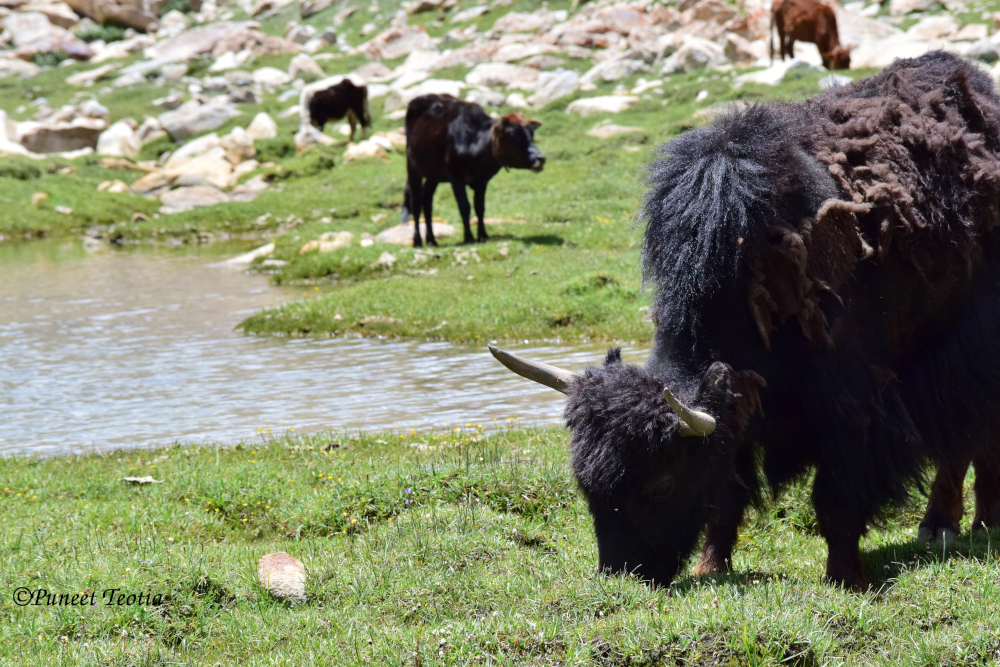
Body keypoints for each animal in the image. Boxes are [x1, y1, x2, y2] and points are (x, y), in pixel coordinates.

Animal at [400, 94, 548, 248]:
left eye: (531, 133)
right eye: (513, 135)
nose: (540, 158)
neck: (473, 142)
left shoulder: (482, 181)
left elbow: (480, 207)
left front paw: (483, 236)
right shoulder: (455, 178)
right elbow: (464, 206)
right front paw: (469, 237)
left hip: (433, 175)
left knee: (427, 201)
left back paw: (431, 240)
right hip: (413, 168)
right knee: (416, 203)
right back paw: (417, 241)